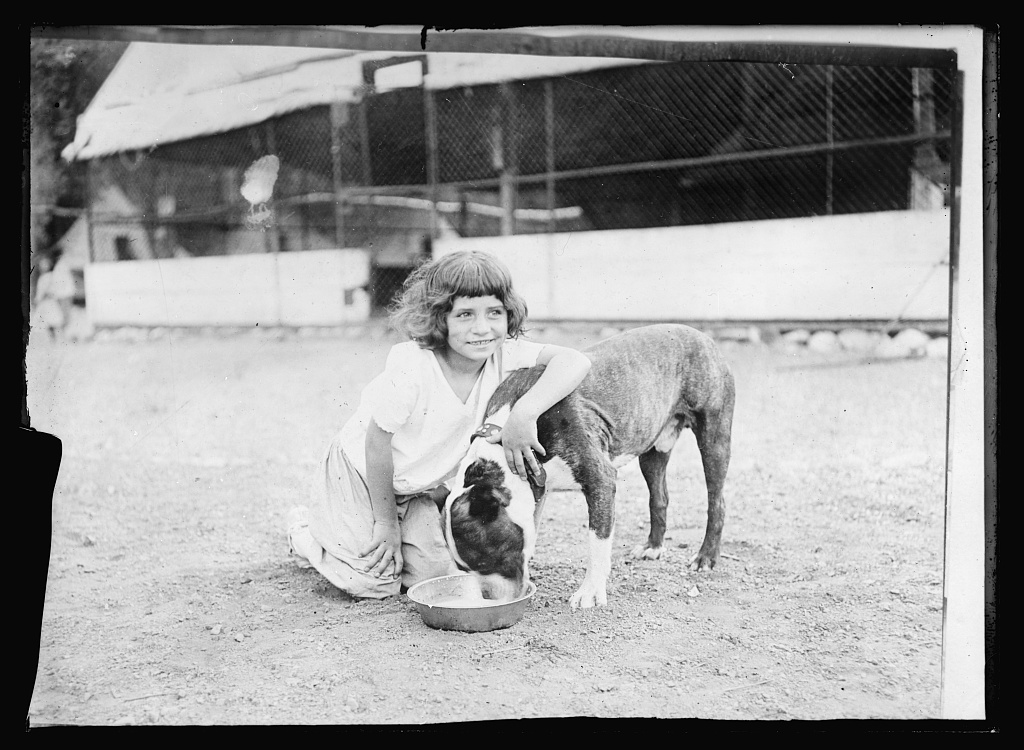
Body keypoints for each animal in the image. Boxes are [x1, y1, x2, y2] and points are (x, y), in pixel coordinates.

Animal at [440, 323, 737, 610]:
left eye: (486, 560)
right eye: (462, 568)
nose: (485, 598)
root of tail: (702, 336)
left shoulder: (600, 480)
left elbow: (597, 542)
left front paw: (590, 593)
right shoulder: (539, 486)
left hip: (714, 438)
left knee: (717, 500)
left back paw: (706, 557)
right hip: (653, 449)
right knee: (659, 496)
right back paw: (653, 547)